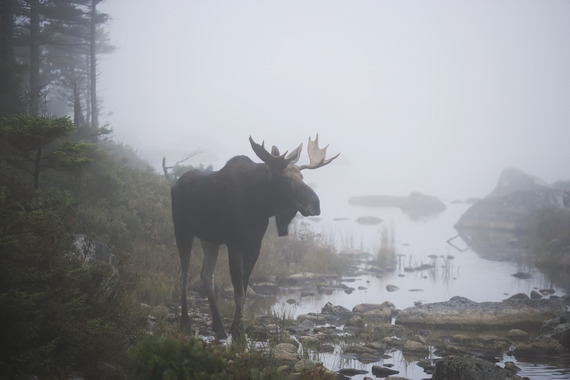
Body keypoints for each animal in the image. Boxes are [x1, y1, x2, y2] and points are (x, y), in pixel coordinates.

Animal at [170, 135, 338, 340]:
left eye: (302, 177)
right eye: (285, 179)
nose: (315, 204)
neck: (259, 207)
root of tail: (174, 185)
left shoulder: (254, 246)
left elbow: (244, 290)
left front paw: (236, 329)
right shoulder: (234, 244)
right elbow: (239, 293)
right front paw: (238, 333)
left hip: (209, 240)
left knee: (206, 275)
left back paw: (219, 328)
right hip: (182, 230)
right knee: (184, 274)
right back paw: (185, 323)